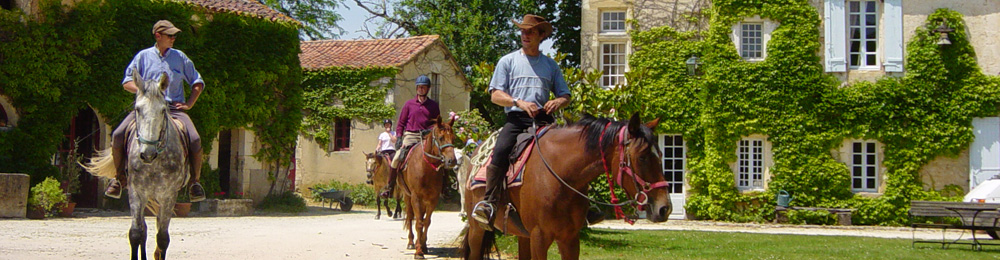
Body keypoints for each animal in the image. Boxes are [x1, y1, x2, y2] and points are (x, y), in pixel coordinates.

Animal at [84, 70, 189, 258]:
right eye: (137, 109)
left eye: (163, 110)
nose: (147, 154)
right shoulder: (136, 192)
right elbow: (135, 233)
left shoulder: (169, 195)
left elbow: (163, 237)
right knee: (143, 230)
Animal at [400, 117, 458, 258]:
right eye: (441, 138)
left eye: (453, 138)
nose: (452, 161)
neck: (425, 168)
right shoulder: (415, 198)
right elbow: (418, 223)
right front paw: (418, 251)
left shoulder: (433, 199)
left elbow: (426, 222)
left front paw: (423, 245)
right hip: (407, 196)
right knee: (410, 217)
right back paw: (411, 242)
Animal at [460, 114, 672, 260]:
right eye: (642, 157)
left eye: (661, 154)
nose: (665, 208)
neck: (560, 176)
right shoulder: (540, 237)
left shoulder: (570, 238)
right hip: (477, 229)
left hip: (522, 235)